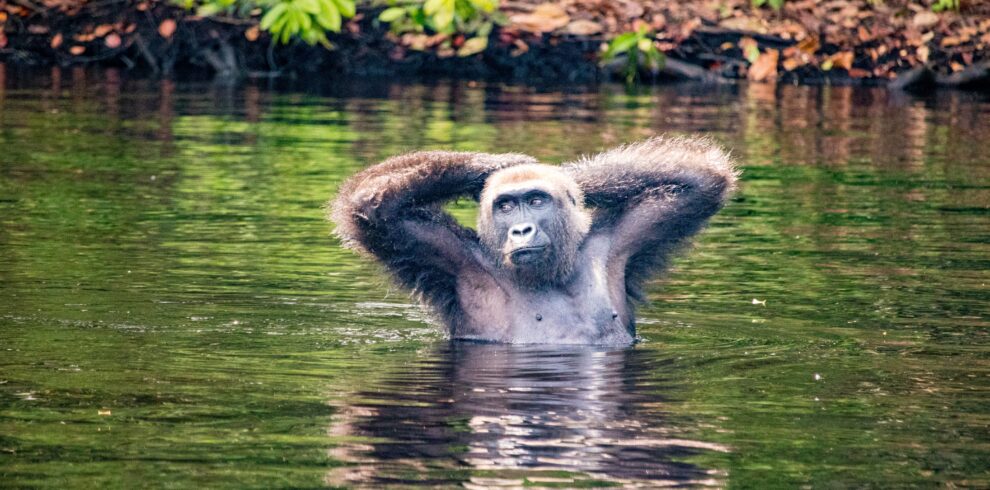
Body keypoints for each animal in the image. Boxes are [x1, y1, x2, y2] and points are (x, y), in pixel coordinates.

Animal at [329, 136, 738, 345]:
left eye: (537, 201)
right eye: (507, 206)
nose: (521, 229)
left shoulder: (620, 241)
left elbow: (700, 180)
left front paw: (568, 176)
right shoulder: (447, 254)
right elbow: (371, 207)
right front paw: (497, 163)